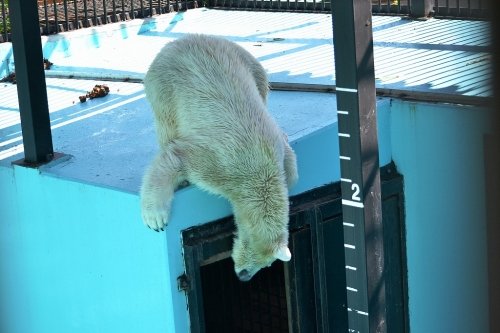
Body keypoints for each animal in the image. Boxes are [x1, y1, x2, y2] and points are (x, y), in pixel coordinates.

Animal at [140, 34, 296, 280]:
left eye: (267, 265)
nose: (243, 276)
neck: (260, 172)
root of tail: (179, 41)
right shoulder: (221, 162)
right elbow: (176, 157)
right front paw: (155, 218)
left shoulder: (276, 149)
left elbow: (291, 168)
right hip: (166, 86)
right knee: (167, 125)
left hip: (247, 60)